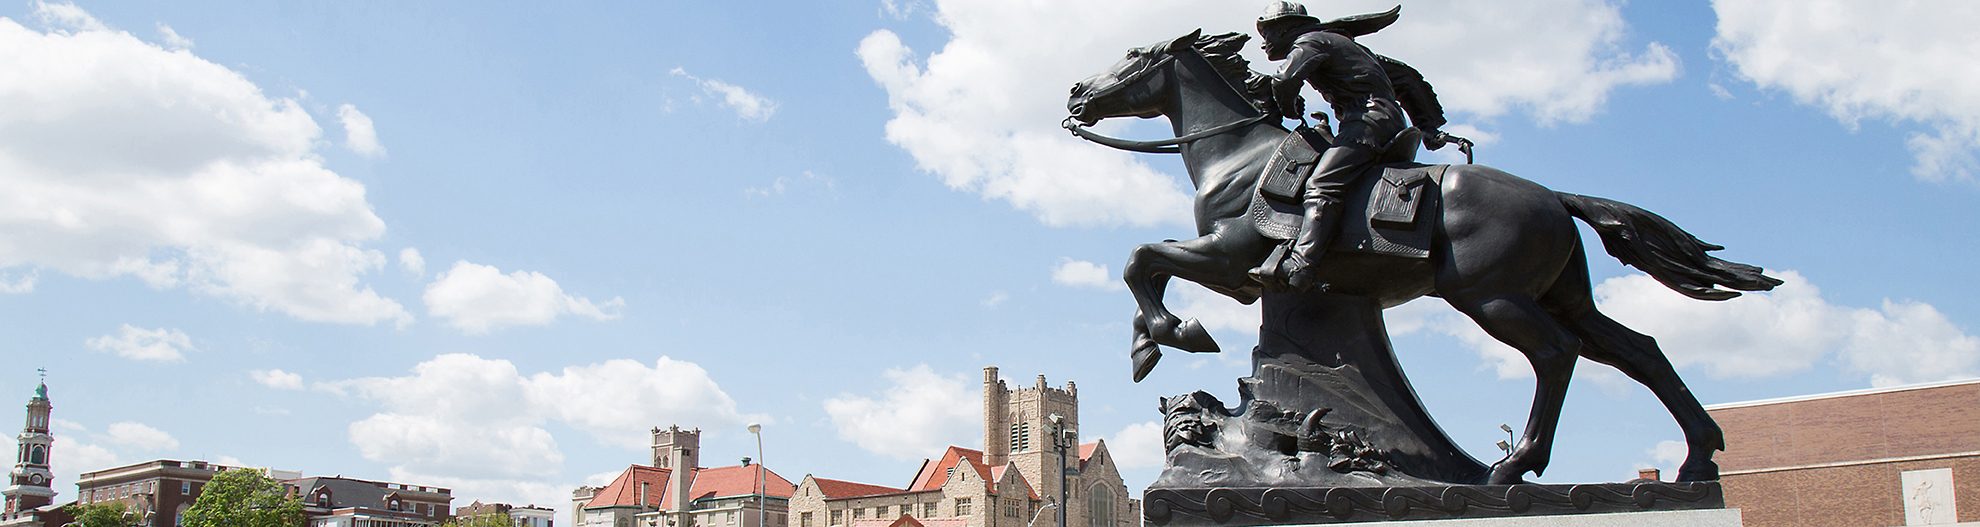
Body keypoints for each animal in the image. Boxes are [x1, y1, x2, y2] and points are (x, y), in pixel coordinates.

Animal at [1069, 30, 1782, 485]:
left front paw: (1173, 334)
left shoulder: (1228, 260)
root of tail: (1553, 196)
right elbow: (1143, 267)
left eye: (1134, 55)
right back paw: (1697, 461)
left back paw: (1512, 466)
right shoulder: (1226, 263)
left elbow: (1139, 259)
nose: (1077, 94)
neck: (1237, 152)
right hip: (1562, 294)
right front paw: (1148, 345)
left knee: (1558, 354)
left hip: (1492, 296)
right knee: (1637, 349)